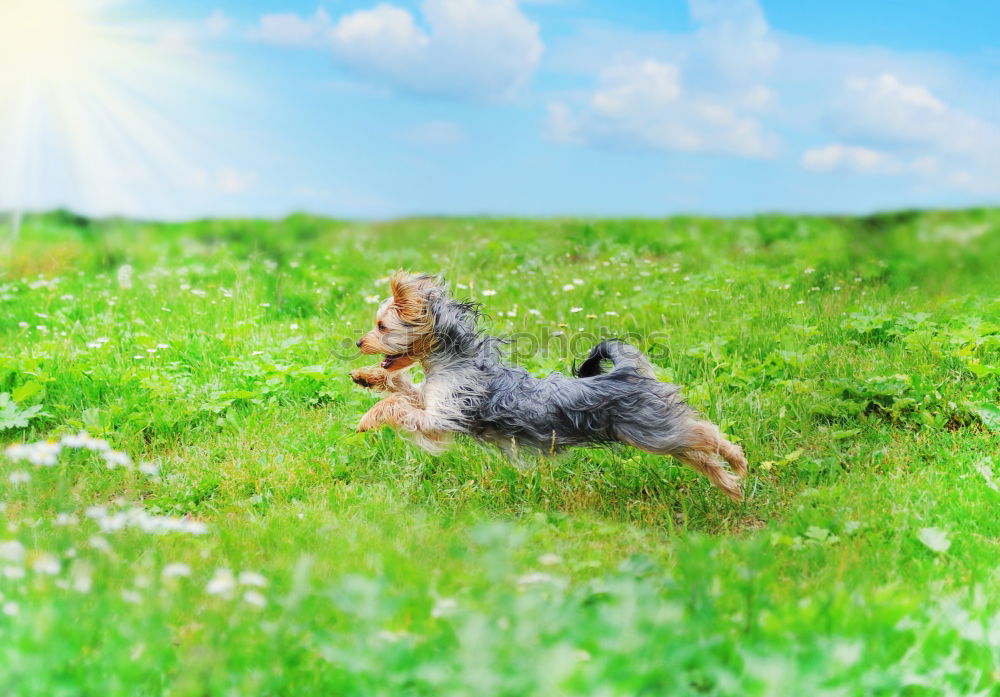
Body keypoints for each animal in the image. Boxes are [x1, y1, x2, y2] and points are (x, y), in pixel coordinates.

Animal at [352, 272, 752, 500]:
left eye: (382, 326)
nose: (358, 342)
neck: (453, 361)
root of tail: (622, 373)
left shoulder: (441, 418)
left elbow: (398, 406)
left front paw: (367, 418)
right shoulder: (432, 400)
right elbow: (406, 388)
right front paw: (367, 376)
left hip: (653, 431)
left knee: (706, 432)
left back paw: (739, 462)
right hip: (657, 435)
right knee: (698, 451)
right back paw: (730, 486)